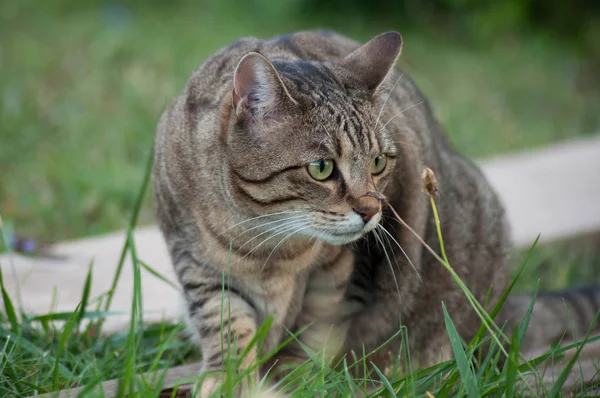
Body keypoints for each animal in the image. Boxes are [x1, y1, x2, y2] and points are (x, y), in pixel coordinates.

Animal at [154, 30, 600, 394]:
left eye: (379, 163)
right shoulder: (196, 262)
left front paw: (292, 377)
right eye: (322, 168)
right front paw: (230, 379)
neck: (266, 239)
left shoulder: (348, 270)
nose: (370, 210)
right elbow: (226, 325)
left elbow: (315, 328)